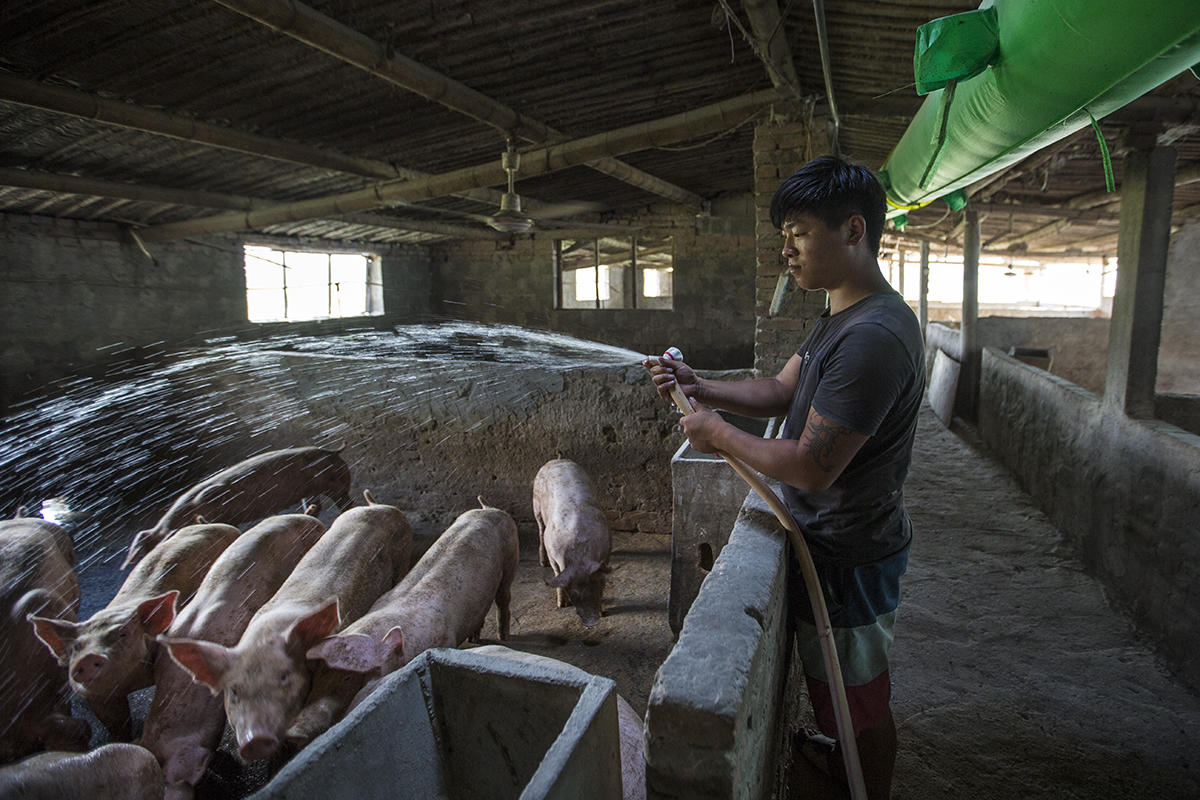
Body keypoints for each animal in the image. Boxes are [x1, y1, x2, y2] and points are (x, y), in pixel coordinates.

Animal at [160, 494, 412, 762]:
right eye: (234, 691)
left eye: (284, 676)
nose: (255, 740)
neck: (267, 634)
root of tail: (377, 506)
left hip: (403, 554)